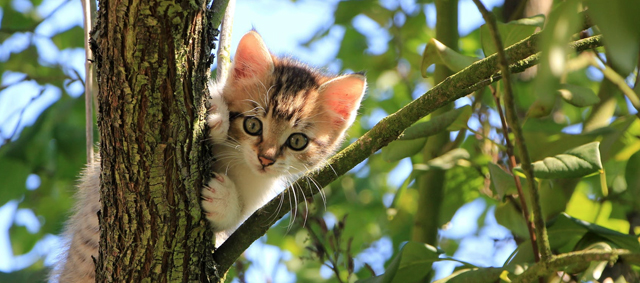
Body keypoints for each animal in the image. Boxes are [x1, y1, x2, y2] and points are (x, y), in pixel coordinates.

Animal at [51, 31, 364, 282]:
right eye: (253, 125)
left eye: (297, 141)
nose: (266, 159)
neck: (238, 162)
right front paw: (216, 114)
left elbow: (234, 222)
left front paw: (223, 199)